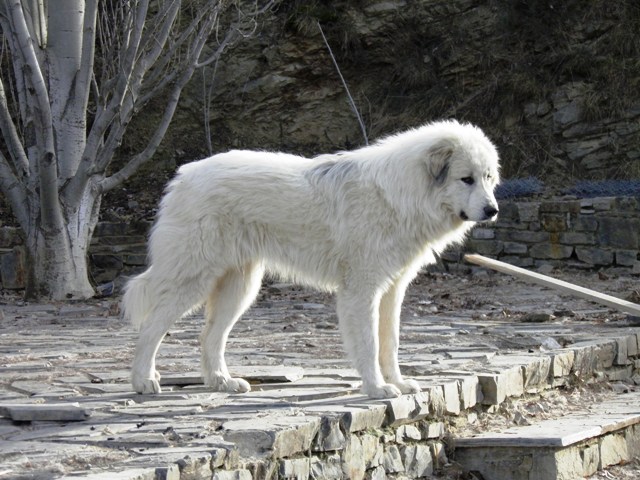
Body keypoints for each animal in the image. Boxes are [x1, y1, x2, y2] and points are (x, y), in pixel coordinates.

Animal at [121, 120, 500, 398]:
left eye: (487, 178)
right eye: (465, 179)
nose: (493, 210)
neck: (401, 195)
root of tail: (183, 176)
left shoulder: (393, 291)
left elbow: (389, 343)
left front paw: (398, 383)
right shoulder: (361, 291)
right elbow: (369, 344)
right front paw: (377, 388)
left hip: (240, 289)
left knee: (209, 336)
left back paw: (222, 382)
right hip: (193, 280)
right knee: (151, 328)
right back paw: (143, 381)